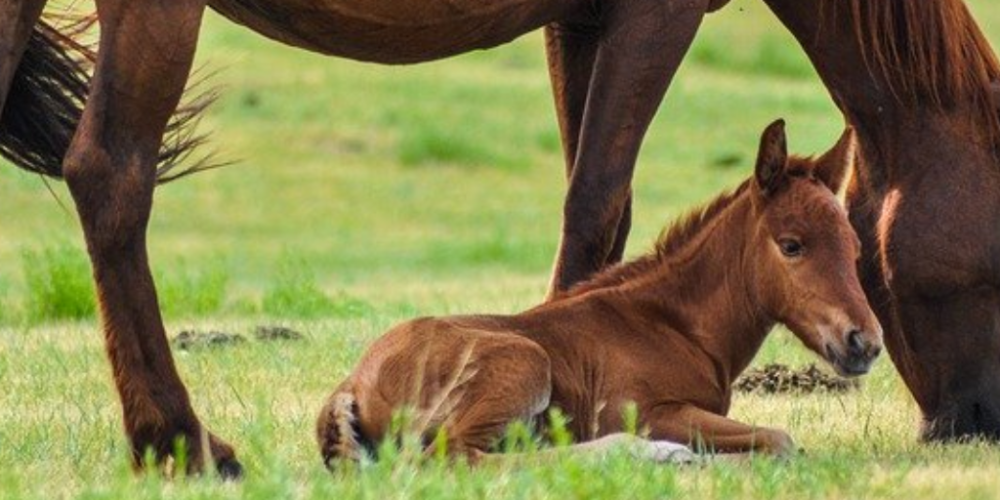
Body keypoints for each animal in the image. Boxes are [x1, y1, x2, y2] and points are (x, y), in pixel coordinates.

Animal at [316, 120, 880, 464]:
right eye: (791, 245)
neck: (675, 326)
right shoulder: (647, 411)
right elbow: (779, 439)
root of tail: (352, 384)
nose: (865, 343)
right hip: (522, 363)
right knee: (459, 459)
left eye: (855, 247)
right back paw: (648, 454)